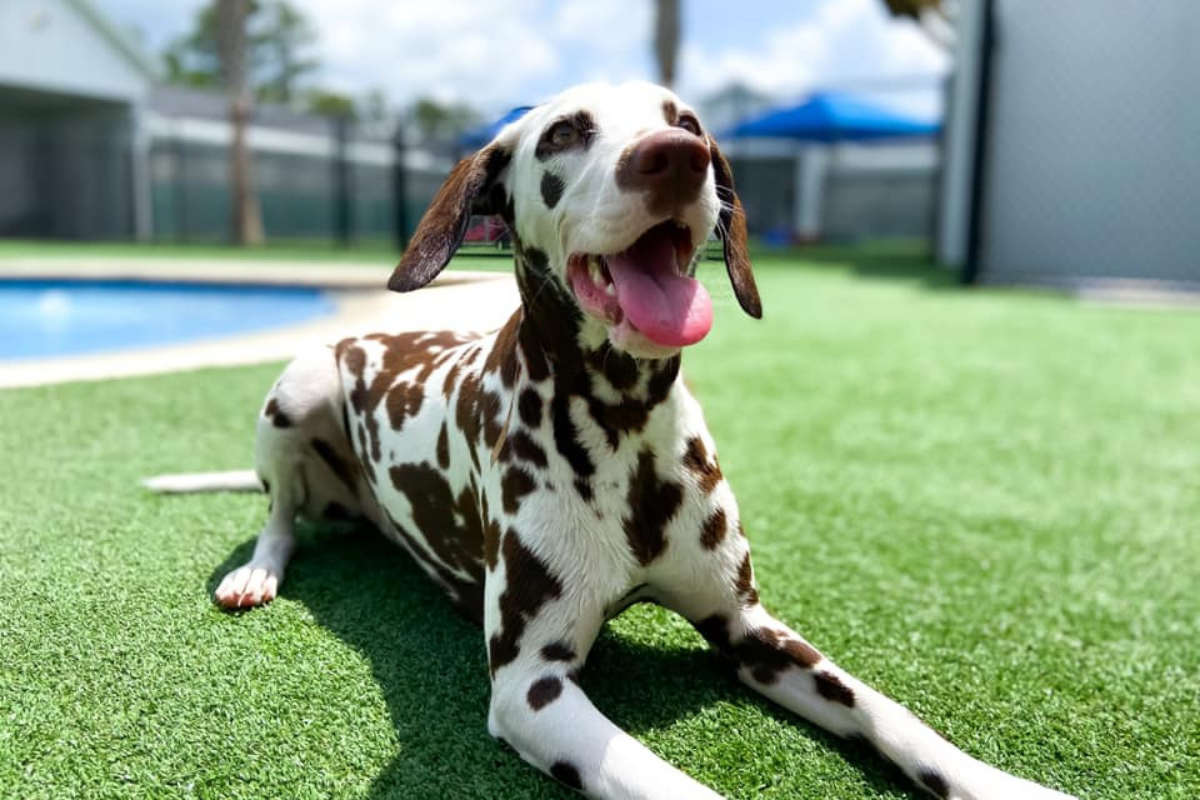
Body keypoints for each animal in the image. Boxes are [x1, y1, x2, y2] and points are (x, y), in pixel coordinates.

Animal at [145, 82, 1075, 800]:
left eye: (687, 119)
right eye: (565, 131)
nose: (677, 156)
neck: (626, 432)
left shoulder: (750, 630)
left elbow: (890, 713)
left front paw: (1002, 783)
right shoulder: (533, 686)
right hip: (296, 391)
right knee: (280, 514)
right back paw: (258, 570)